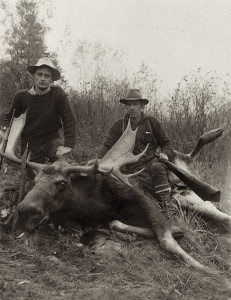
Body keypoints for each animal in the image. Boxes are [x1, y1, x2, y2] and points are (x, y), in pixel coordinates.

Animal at [0, 113, 231, 276]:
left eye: (62, 183)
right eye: (35, 181)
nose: (24, 212)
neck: (92, 206)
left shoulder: (147, 204)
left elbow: (167, 239)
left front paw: (214, 273)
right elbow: (114, 223)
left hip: (195, 199)